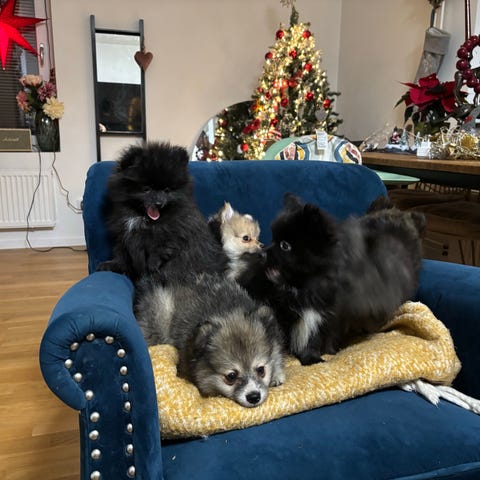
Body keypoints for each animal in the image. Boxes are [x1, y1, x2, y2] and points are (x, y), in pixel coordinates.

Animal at [97, 141, 228, 283]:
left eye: (167, 190)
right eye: (146, 189)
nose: (159, 203)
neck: (141, 216)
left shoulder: (172, 231)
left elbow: (162, 247)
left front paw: (152, 265)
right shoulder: (123, 234)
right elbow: (121, 252)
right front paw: (114, 265)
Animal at [237, 193, 425, 365]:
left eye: (285, 246)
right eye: (273, 239)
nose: (262, 253)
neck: (301, 288)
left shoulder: (320, 317)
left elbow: (311, 341)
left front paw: (312, 358)